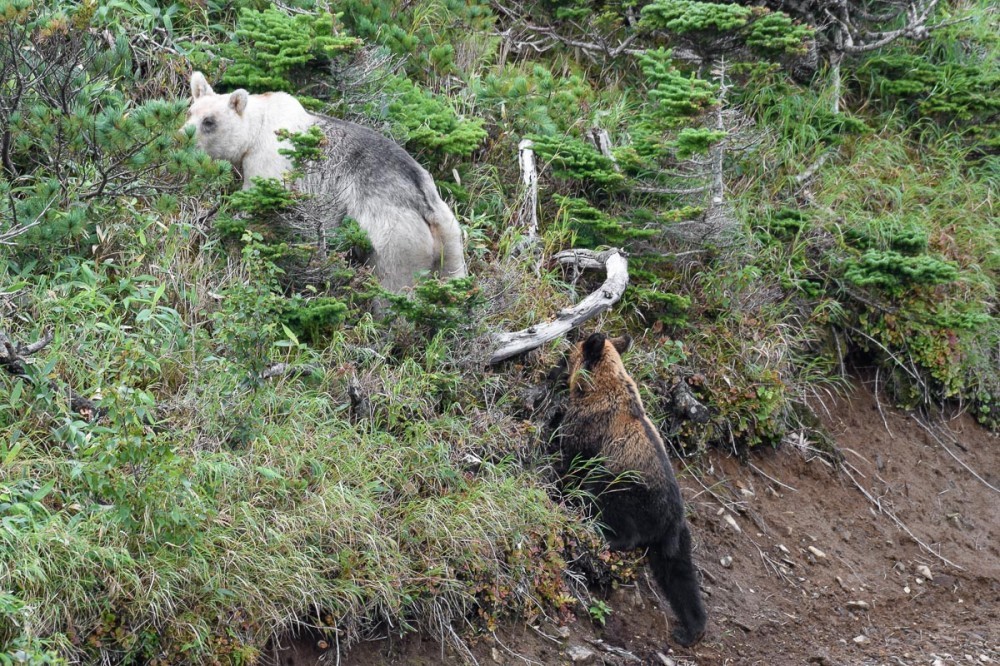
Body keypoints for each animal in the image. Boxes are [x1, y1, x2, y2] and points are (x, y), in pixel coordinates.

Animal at [186, 71, 466, 292]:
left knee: (393, 285)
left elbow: (255, 198)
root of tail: (423, 203)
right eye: (190, 112)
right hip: (451, 239)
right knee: (453, 274)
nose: (182, 136)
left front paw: (218, 221)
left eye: (209, 121)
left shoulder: (271, 159)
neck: (256, 130)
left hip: (394, 240)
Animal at [560, 330, 708, 644]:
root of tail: (671, 521)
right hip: (678, 540)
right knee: (679, 576)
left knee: (609, 503)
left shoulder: (589, 426)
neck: (599, 385)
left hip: (628, 488)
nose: (561, 355)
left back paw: (605, 534)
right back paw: (691, 628)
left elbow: (571, 456)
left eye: (571, 353)